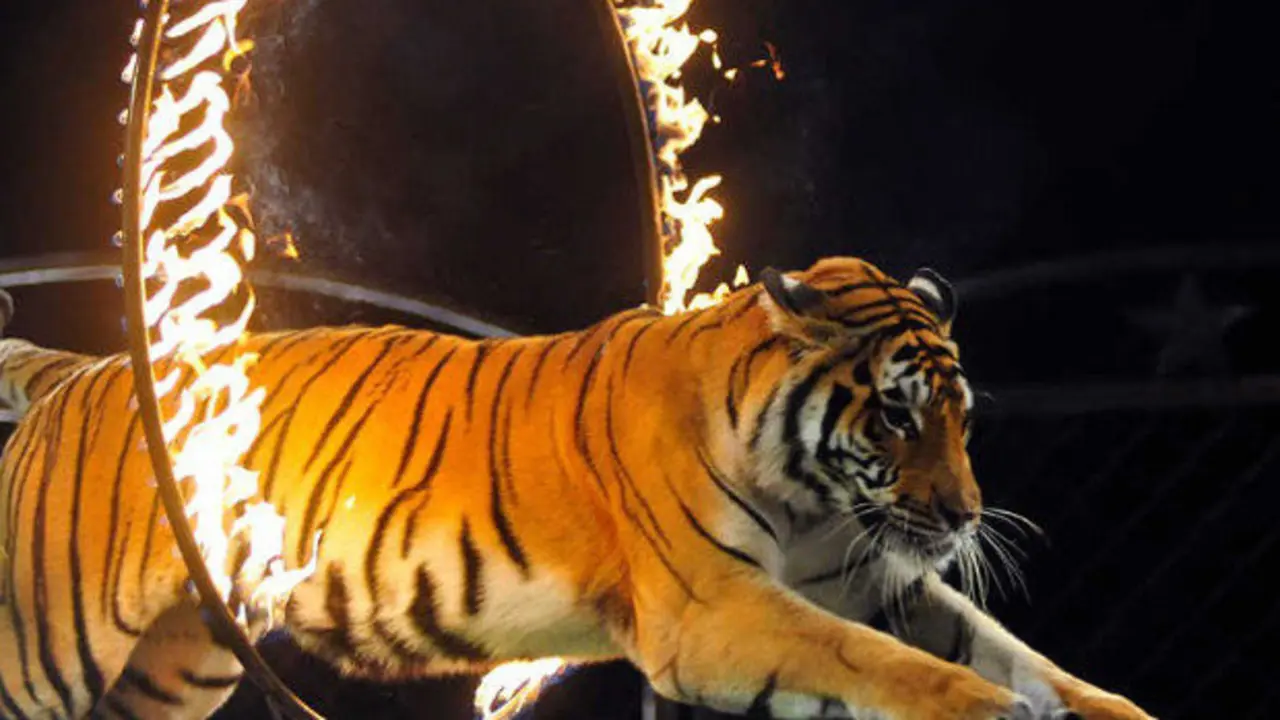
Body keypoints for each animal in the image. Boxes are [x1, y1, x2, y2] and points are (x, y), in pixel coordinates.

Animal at [0, 256, 1154, 720]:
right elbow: (879, 666)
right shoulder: (712, 608)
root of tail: (78, 372)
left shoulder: (875, 579)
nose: (962, 515)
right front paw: (988, 710)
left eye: (962, 416)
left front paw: (1097, 709)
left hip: (176, 667)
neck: (810, 501)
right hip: (48, 644)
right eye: (897, 414)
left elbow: (1014, 652)